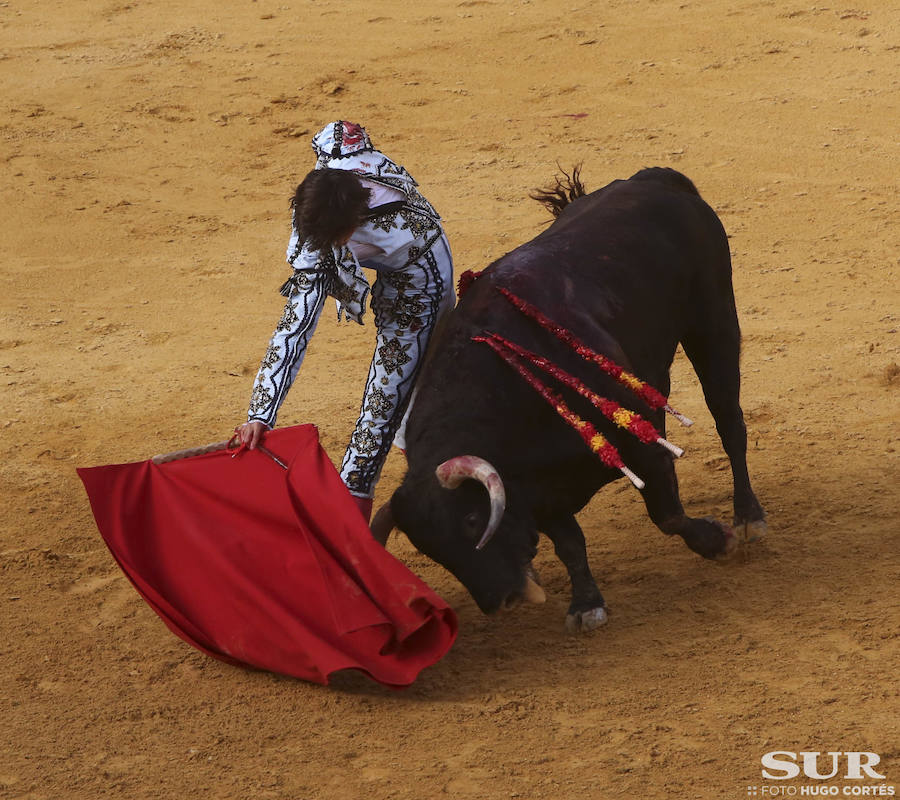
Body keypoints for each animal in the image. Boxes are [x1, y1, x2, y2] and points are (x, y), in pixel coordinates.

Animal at [374, 167, 768, 632]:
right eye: (430, 550)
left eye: (471, 520)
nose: (502, 602)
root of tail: (655, 179)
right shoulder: (538, 494)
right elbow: (570, 544)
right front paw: (586, 604)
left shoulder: (642, 444)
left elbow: (667, 514)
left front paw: (718, 541)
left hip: (713, 320)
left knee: (729, 421)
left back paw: (748, 516)